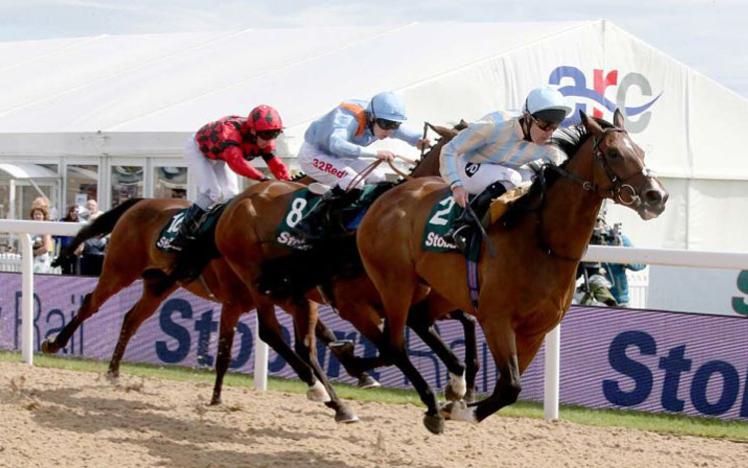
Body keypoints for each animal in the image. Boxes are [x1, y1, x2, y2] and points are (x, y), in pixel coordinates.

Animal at [356, 109, 668, 432]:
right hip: (395, 283)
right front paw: (459, 410)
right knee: (394, 345)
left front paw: (457, 404)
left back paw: (449, 385)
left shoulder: (535, 331)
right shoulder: (497, 320)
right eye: (614, 152)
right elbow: (510, 387)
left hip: (441, 289)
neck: (543, 242)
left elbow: (505, 389)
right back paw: (426, 401)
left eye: (641, 152)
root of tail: (385, 198)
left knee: (417, 321)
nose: (657, 196)